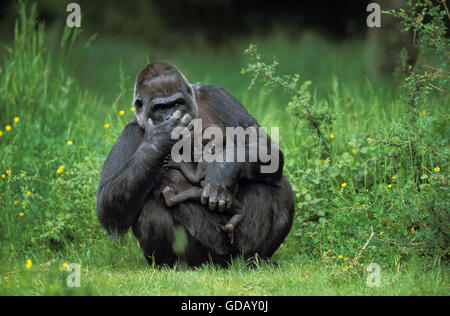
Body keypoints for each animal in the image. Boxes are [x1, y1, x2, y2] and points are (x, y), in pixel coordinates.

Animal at [96, 62, 296, 266]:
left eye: (178, 103)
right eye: (160, 107)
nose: (171, 115)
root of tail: (221, 264)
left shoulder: (218, 96)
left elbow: (266, 148)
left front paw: (223, 169)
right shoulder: (131, 131)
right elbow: (109, 206)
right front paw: (161, 136)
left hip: (234, 250)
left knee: (280, 186)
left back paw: (255, 259)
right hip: (203, 256)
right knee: (151, 206)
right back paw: (173, 264)